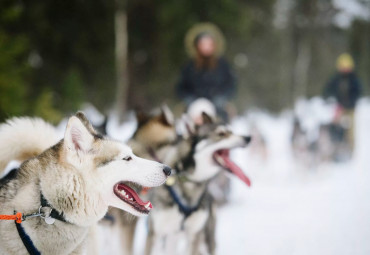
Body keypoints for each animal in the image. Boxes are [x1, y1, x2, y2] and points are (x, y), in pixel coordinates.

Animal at [145, 113, 251, 255]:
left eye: (231, 131)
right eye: (221, 133)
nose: (248, 138)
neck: (189, 181)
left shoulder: (195, 235)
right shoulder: (155, 234)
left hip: (206, 239)